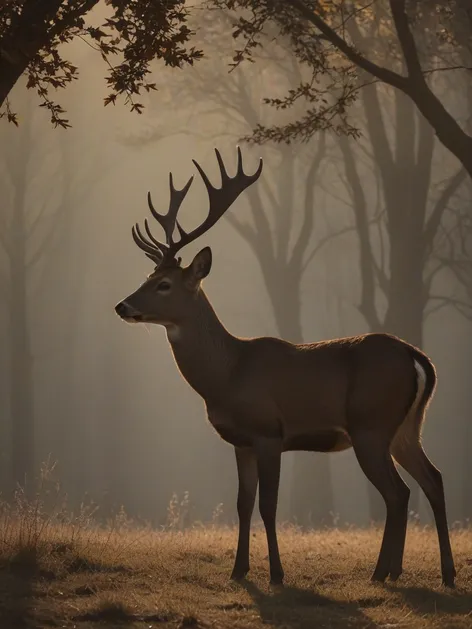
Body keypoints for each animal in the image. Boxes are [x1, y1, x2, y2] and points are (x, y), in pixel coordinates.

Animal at [112, 147, 456, 588]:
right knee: (432, 479)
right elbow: (242, 504)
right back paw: (436, 573)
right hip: (406, 427)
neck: (228, 374)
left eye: (164, 285)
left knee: (397, 493)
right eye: (148, 276)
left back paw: (382, 573)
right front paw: (238, 571)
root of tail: (419, 358)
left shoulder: (269, 431)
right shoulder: (240, 441)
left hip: (371, 425)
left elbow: (269, 506)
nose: (122, 306)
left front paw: (276, 575)